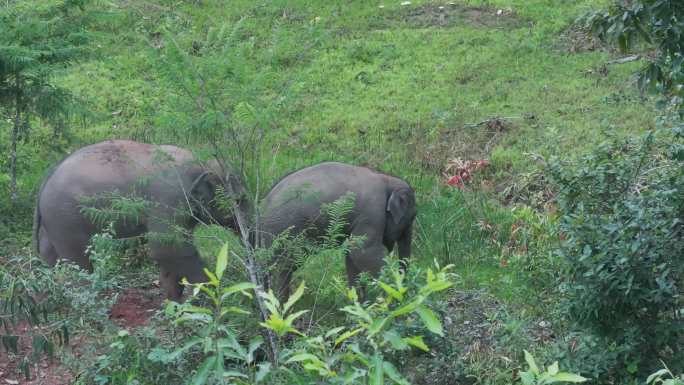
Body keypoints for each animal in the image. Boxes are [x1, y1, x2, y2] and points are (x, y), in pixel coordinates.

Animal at [32, 140, 251, 298]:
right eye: (239, 200)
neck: (200, 162)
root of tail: (45, 181)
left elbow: (171, 252)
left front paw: (175, 304)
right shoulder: (170, 198)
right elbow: (166, 249)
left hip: (53, 223)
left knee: (51, 257)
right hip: (65, 219)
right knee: (79, 263)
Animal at [258, 160, 414, 298]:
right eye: (411, 220)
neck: (387, 179)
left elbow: (351, 255)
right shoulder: (371, 213)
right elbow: (362, 252)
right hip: (283, 230)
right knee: (282, 268)